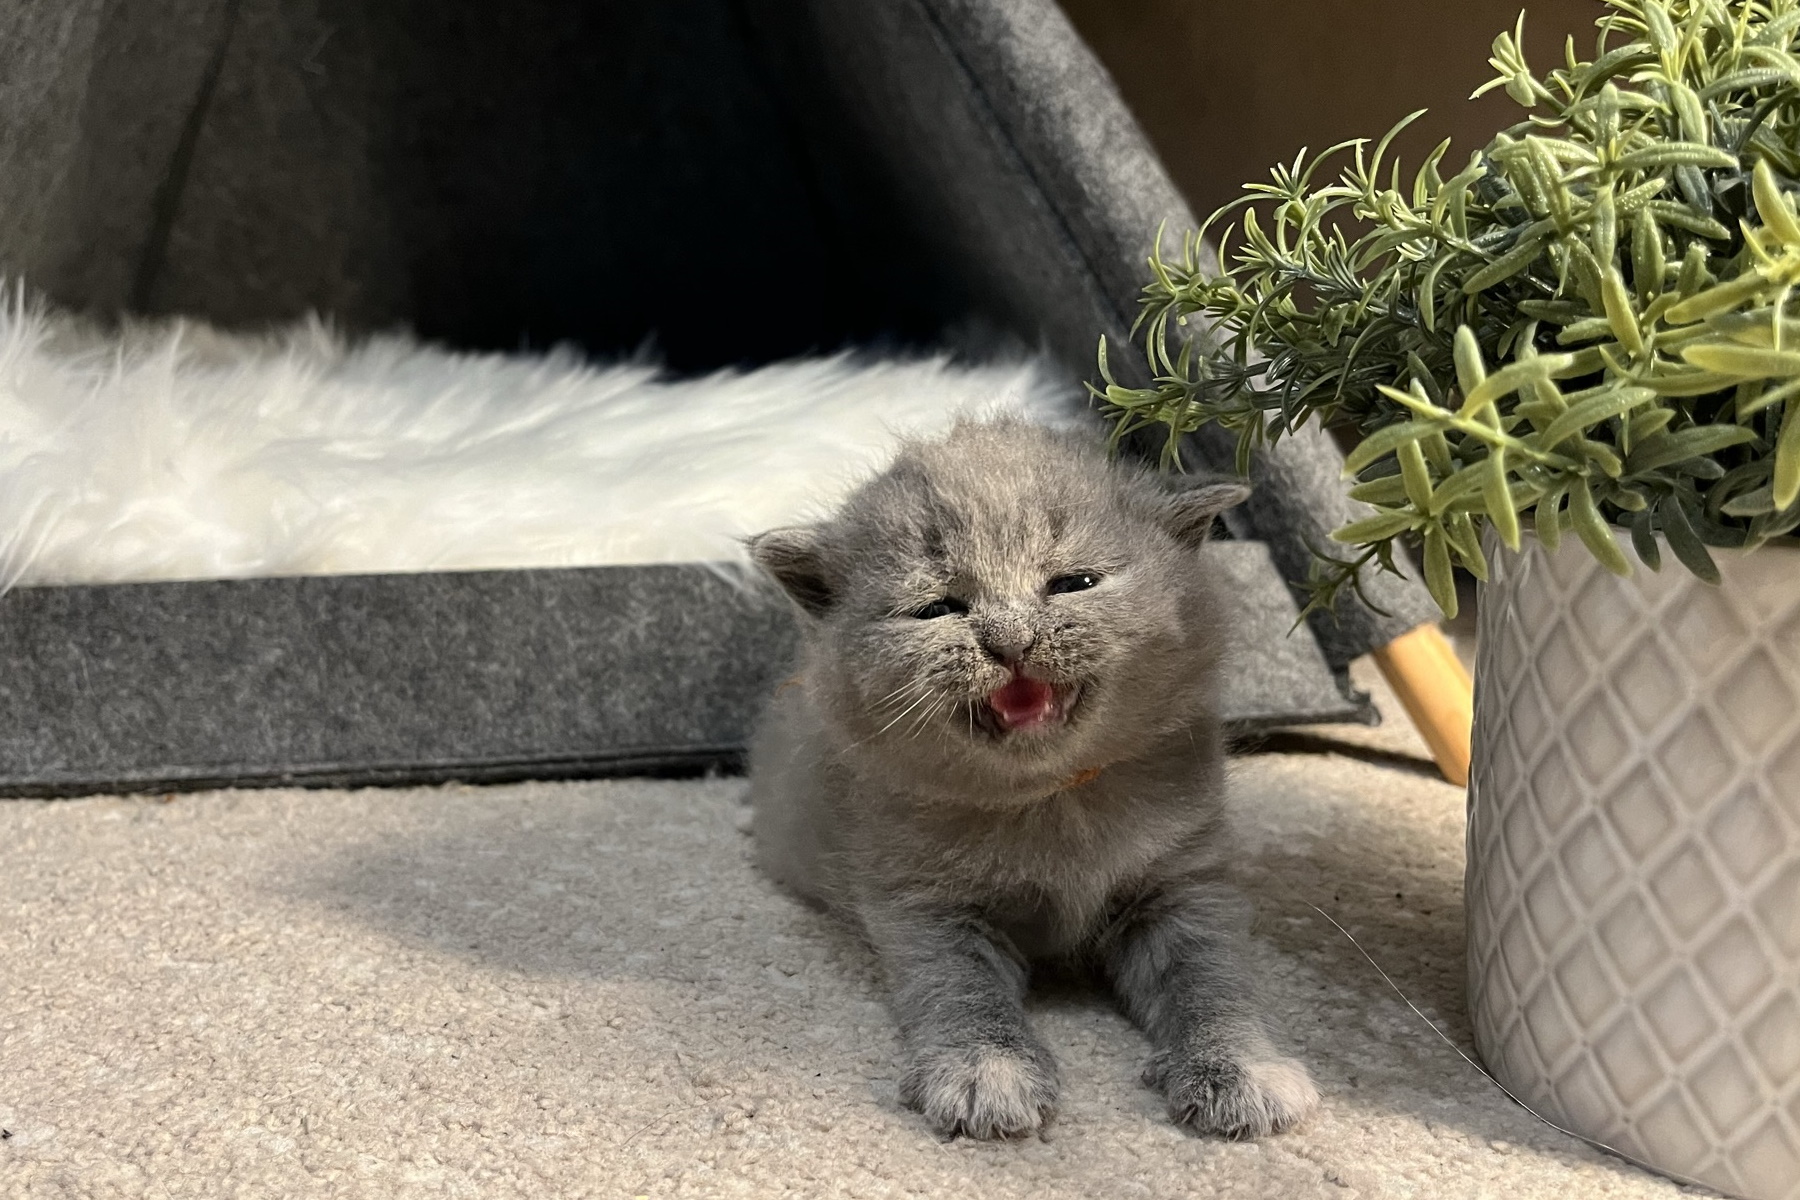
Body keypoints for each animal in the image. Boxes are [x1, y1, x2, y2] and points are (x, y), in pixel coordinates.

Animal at [745, 417, 1318, 1140]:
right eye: (937, 608)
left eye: (1074, 583)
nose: (1009, 639)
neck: (1052, 801)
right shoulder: (922, 905)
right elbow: (961, 989)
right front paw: (985, 1073)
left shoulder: (1185, 884)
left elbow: (1212, 978)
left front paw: (1241, 1069)